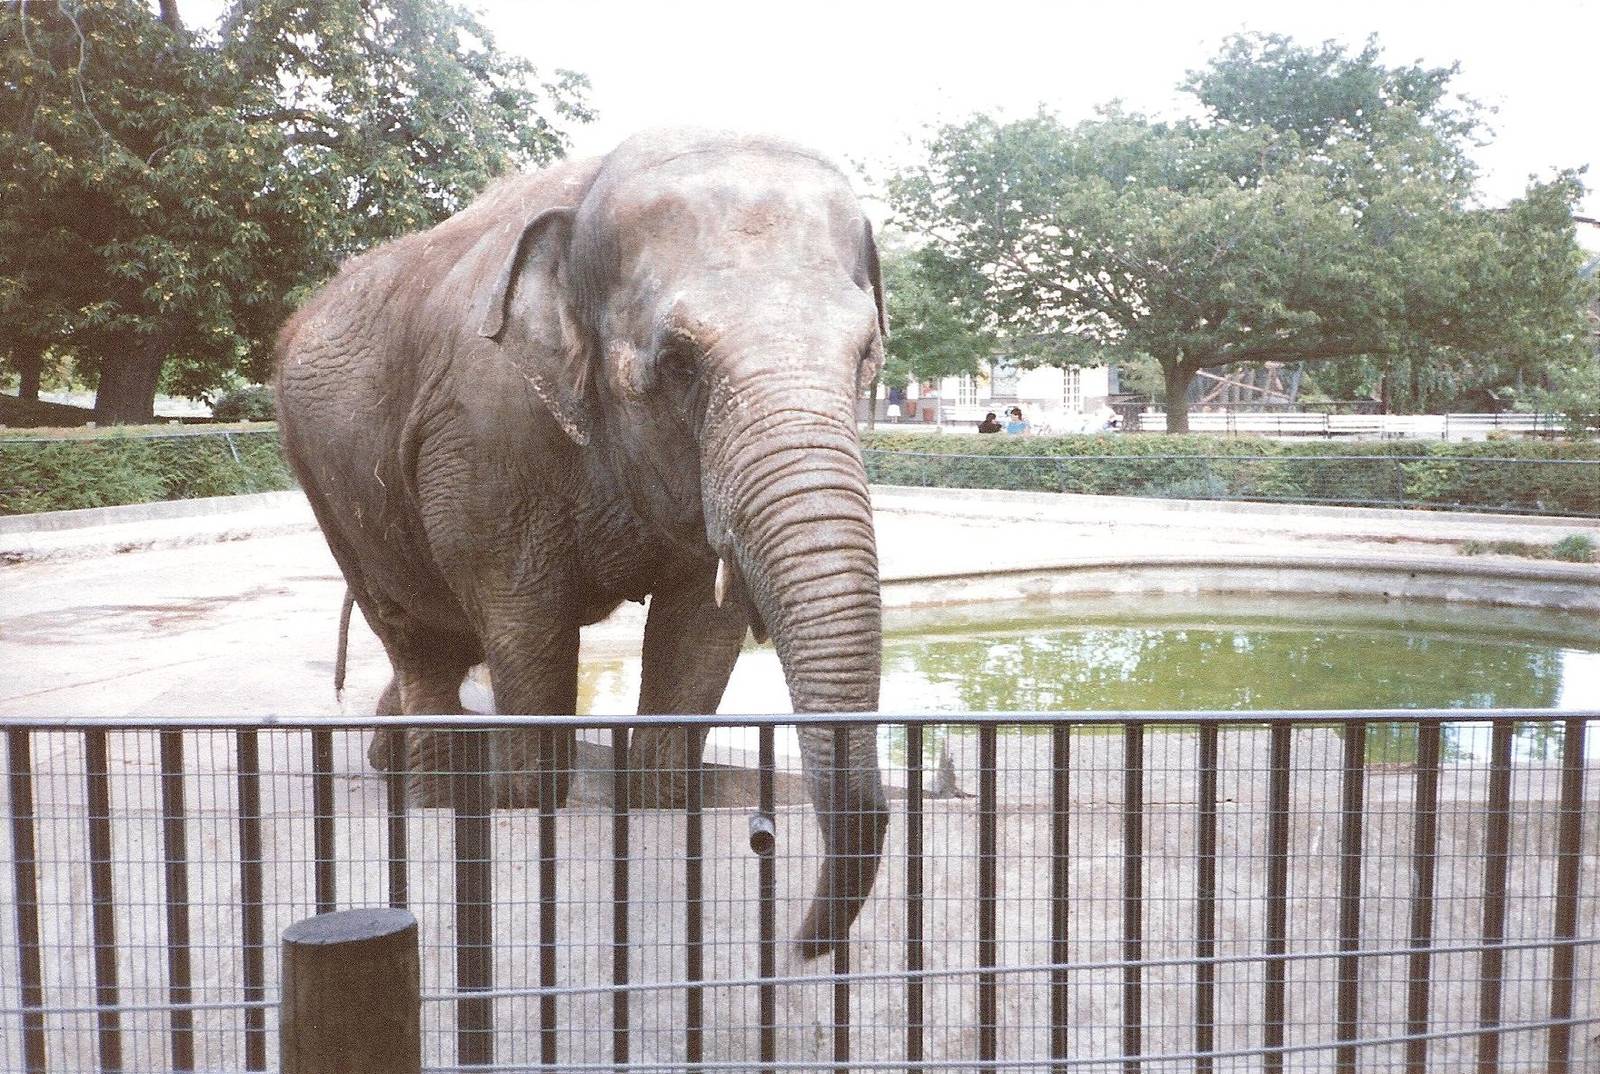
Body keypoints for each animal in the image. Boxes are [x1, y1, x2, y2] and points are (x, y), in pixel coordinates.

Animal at [274, 129, 890, 958]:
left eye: (867, 357)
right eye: (679, 363)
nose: (796, 943)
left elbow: (697, 641)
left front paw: (663, 810)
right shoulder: (483, 441)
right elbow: (530, 636)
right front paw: (527, 812)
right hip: (329, 487)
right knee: (416, 641)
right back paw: (429, 799)